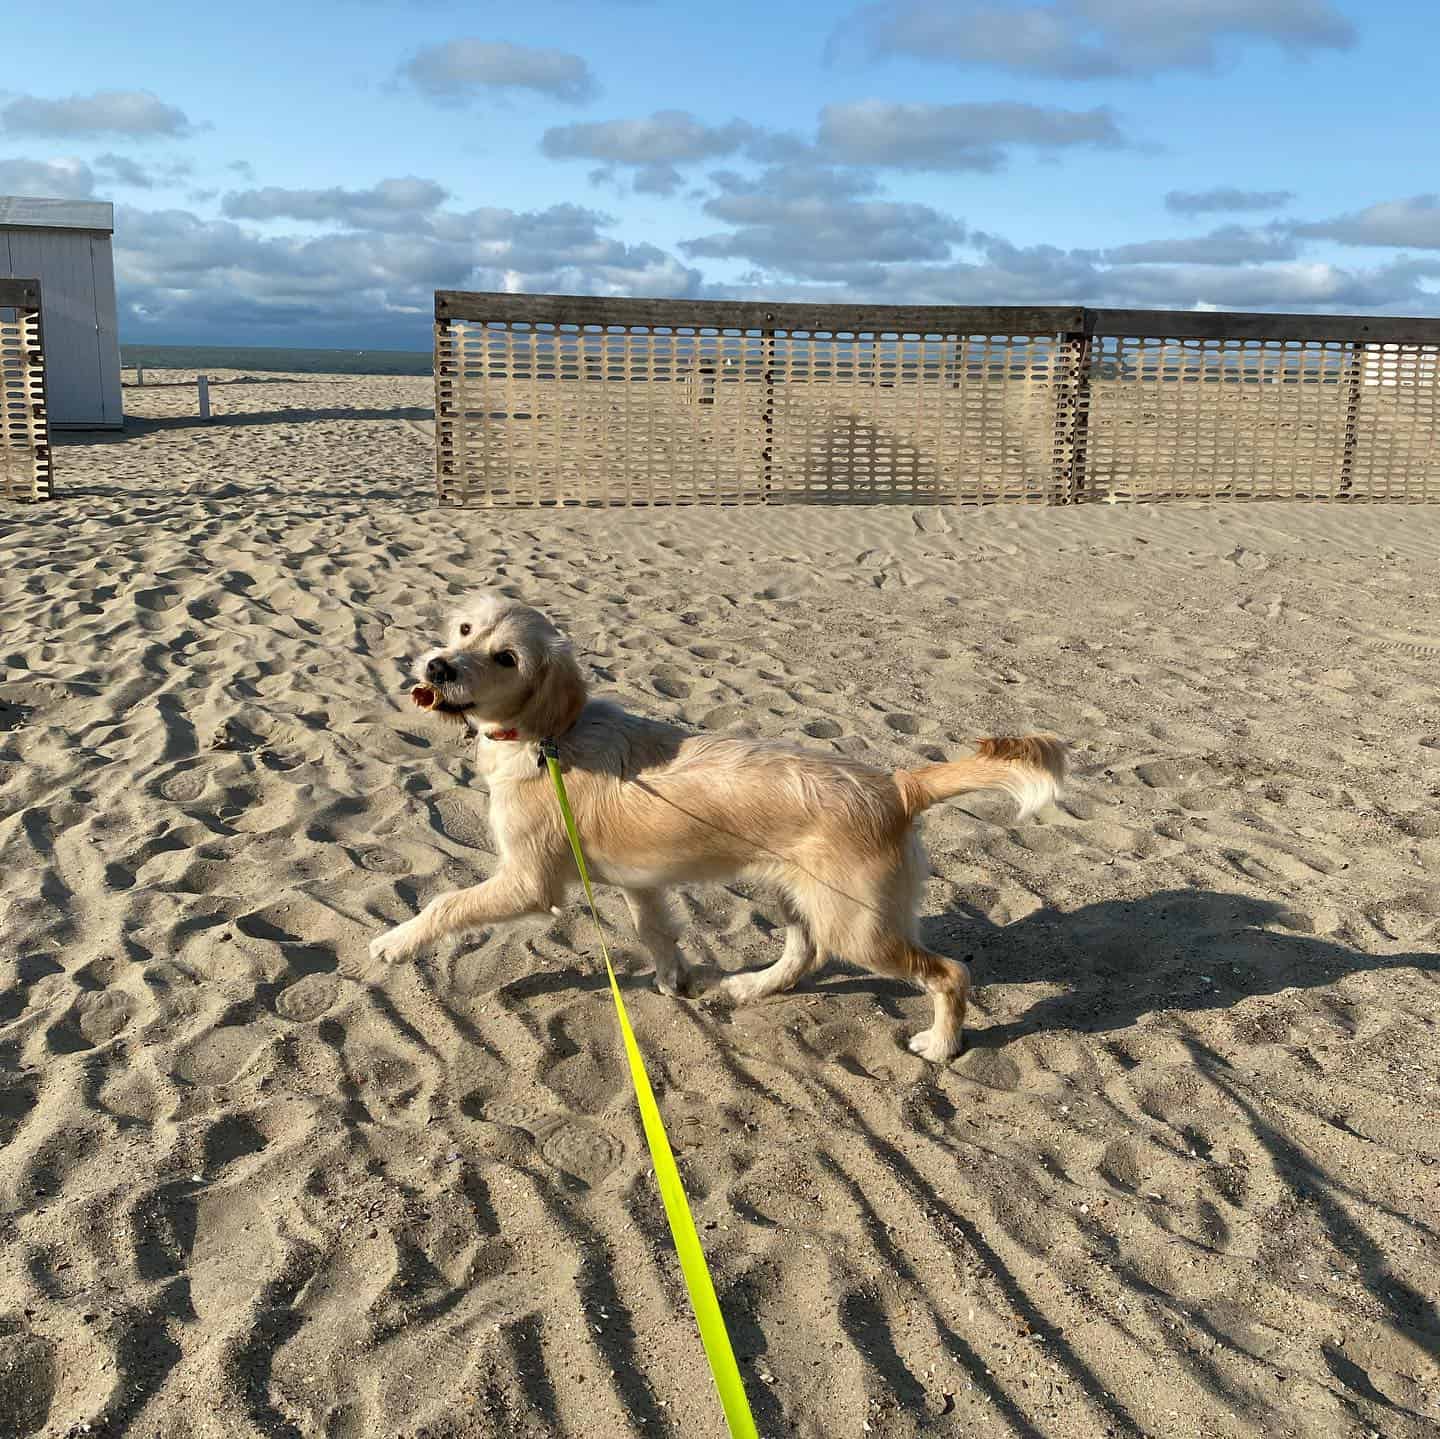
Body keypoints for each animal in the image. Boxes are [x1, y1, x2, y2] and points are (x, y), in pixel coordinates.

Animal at [368, 590, 1071, 1065]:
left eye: (506, 658)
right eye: (465, 629)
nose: (438, 667)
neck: (550, 739)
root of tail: (896, 785)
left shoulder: (529, 882)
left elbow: (444, 903)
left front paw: (394, 943)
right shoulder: (641, 880)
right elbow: (655, 932)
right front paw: (673, 979)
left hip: (860, 926)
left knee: (949, 974)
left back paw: (942, 1044)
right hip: (801, 895)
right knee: (803, 952)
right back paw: (748, 986)